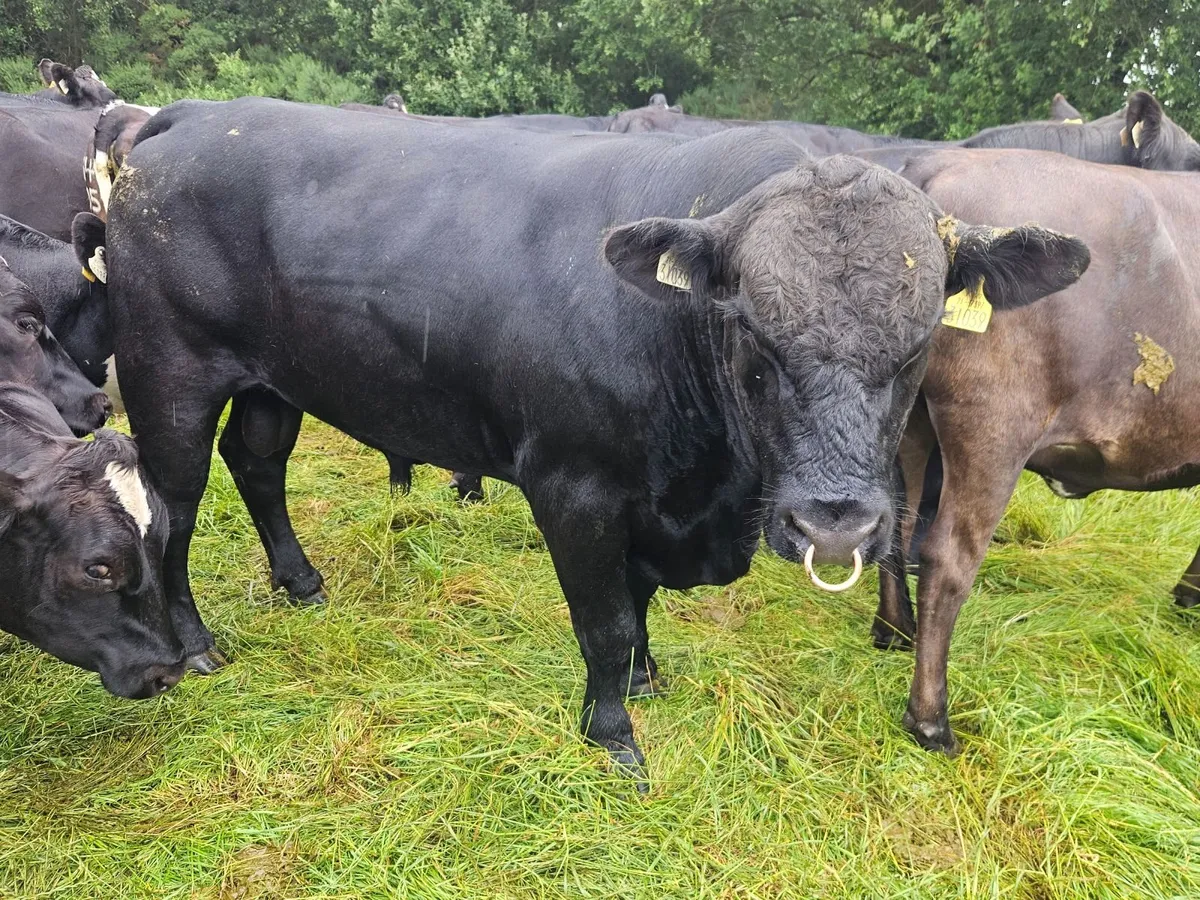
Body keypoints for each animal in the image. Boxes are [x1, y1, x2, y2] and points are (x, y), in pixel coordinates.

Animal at [84, 97, 1088, 784]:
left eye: (919, 345)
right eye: (754, 336)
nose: (834, 523)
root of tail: (192, 117)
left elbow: (636, 610)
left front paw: (647, 681)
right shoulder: (574, 486)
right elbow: (602, 621)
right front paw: (614, 738)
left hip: (271, 380)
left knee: (259, 465)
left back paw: (300, 582)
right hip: (169, 374)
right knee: (173, 508)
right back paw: (194, 643)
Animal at [857, 146, 1200, 755]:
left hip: (908, 418)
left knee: (899, 519)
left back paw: (894, 629)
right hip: (995, 427)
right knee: (947, 558)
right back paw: (931, 720)